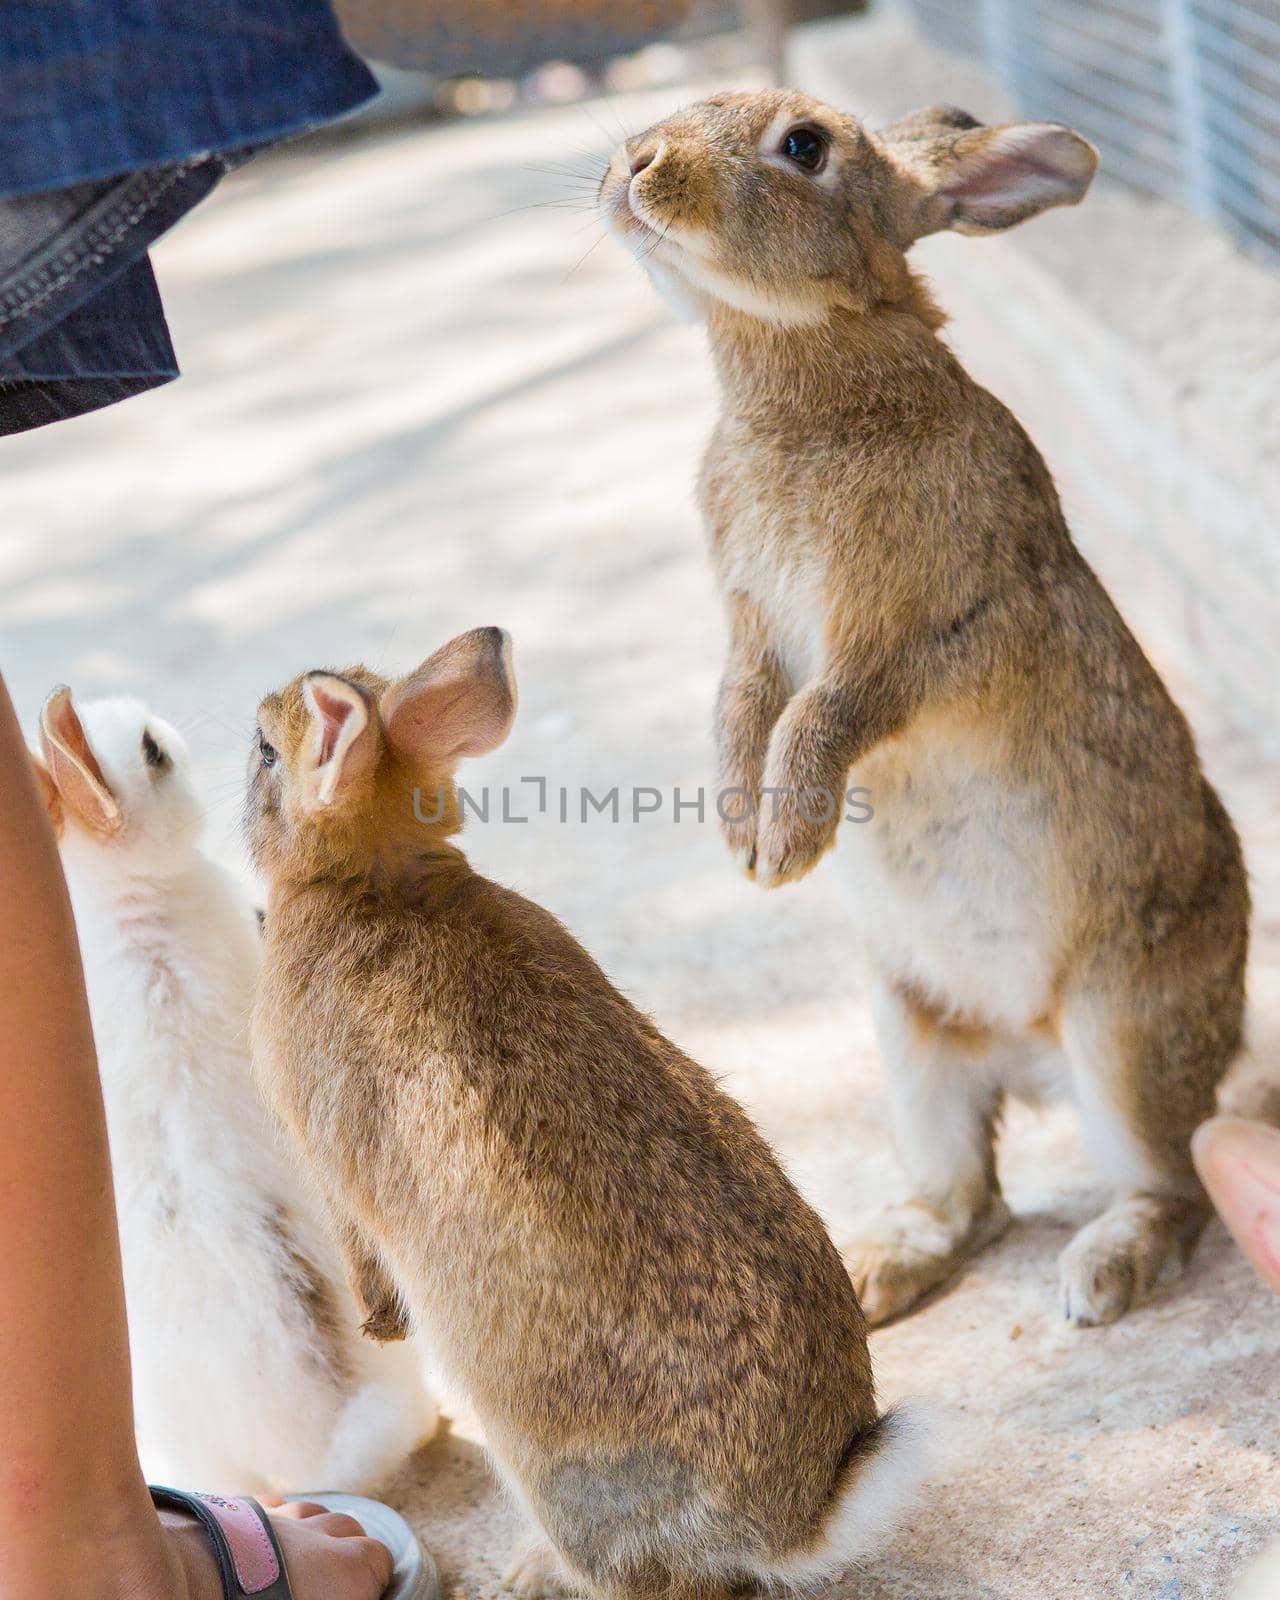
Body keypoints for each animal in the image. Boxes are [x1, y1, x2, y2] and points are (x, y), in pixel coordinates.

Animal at [244, 630, 928, 1600]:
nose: (254, 733)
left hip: (562, 1481)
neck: (370, 875)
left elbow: (355, 1235)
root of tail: (793, 1526)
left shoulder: (323, 1151)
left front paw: (380, 1321)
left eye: (269, 754)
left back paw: (531, 1572)